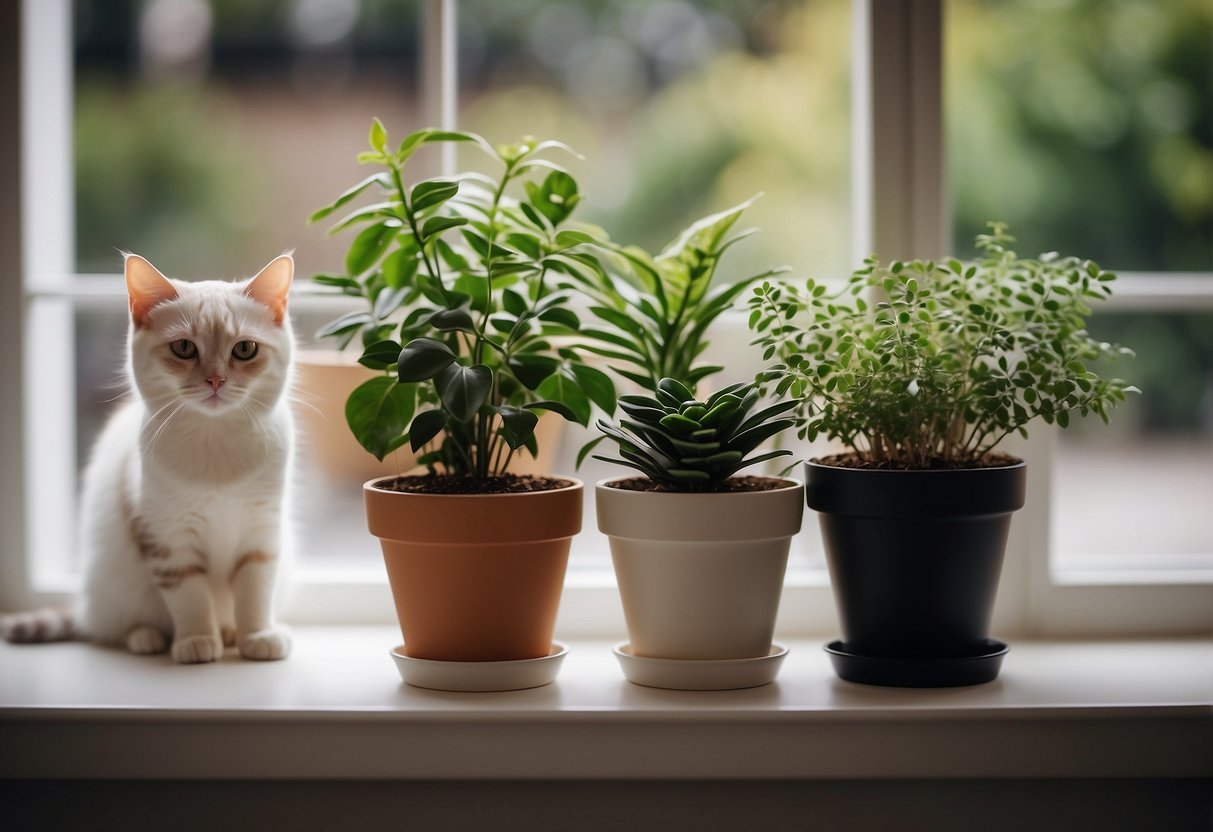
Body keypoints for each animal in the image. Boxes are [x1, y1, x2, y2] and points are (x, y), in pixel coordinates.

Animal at [1, 254, 295, 664]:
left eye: (245, 349)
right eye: (184, 348)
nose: (216, 380)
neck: (214, 442)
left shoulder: (261, 531)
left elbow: (255, 591)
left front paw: (258, 635)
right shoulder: (167, 539)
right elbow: (190, 597)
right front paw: (196, 641)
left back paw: (229, 632)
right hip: (114, 585)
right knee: (116, 628)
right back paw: (149, 637)